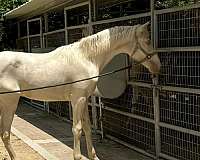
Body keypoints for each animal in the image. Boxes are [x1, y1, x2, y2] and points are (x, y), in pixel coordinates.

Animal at [0, 22, 160, 160]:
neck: (86, 58)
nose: (157, 66)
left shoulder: (85, 99)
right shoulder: (78, 100)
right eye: (147, 40)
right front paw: (78, 156)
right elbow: (77, 129)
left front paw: (93, 156)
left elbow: (87, 127)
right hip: (10, 102)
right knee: (6, 134)